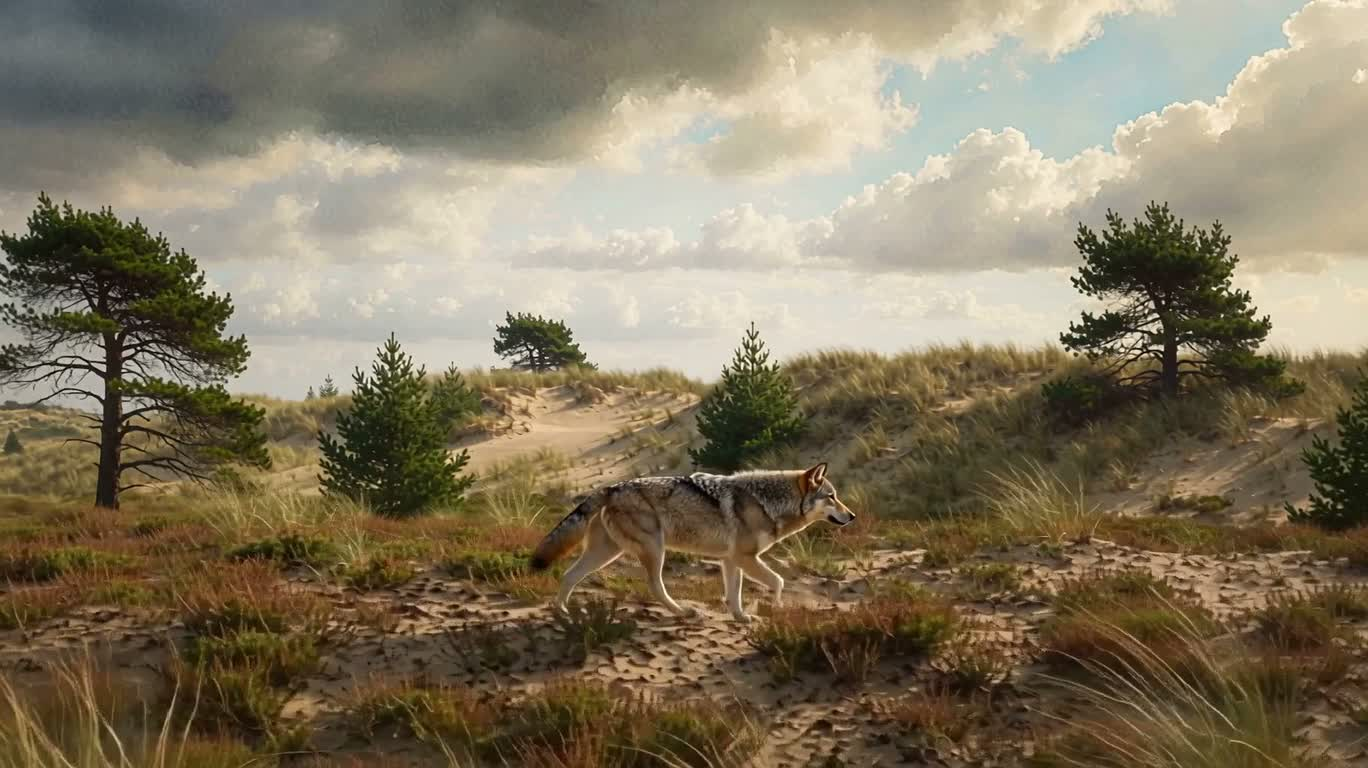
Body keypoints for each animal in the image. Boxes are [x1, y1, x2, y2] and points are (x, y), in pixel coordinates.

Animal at [529, 463, 855, 623]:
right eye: (832, 496)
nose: (852, 516)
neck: (768, 503)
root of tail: (612, 487)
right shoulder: (746, 557)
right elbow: (778, 582)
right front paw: (775, 608)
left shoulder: (731, 560)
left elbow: (734, 595)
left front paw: (741, 618)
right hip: (654, 550)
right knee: (655, 587)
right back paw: (683, 612)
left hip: (605, 553)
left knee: (568, 575)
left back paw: (563, 613)